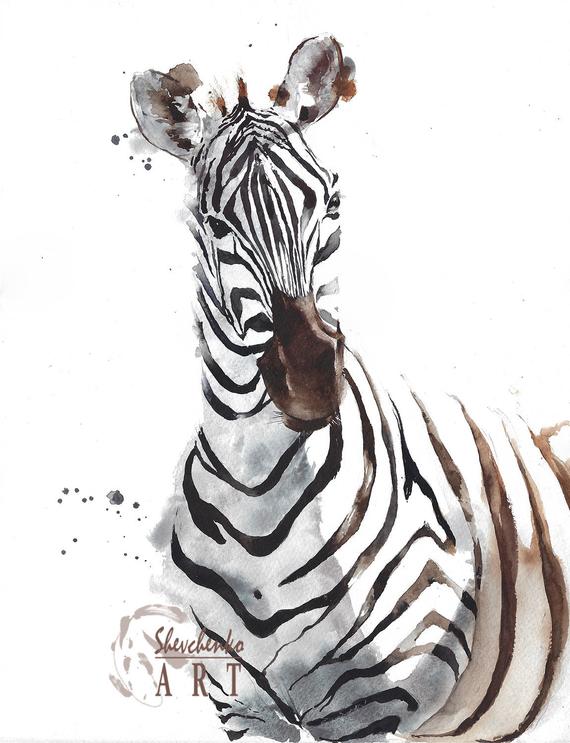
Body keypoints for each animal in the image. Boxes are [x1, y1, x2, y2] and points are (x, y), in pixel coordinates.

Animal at [130, 35, 570, 743]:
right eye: (216, 225)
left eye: (331, 203)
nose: (309, 382)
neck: (257, 497)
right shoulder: (243, 709)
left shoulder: (374, 708)